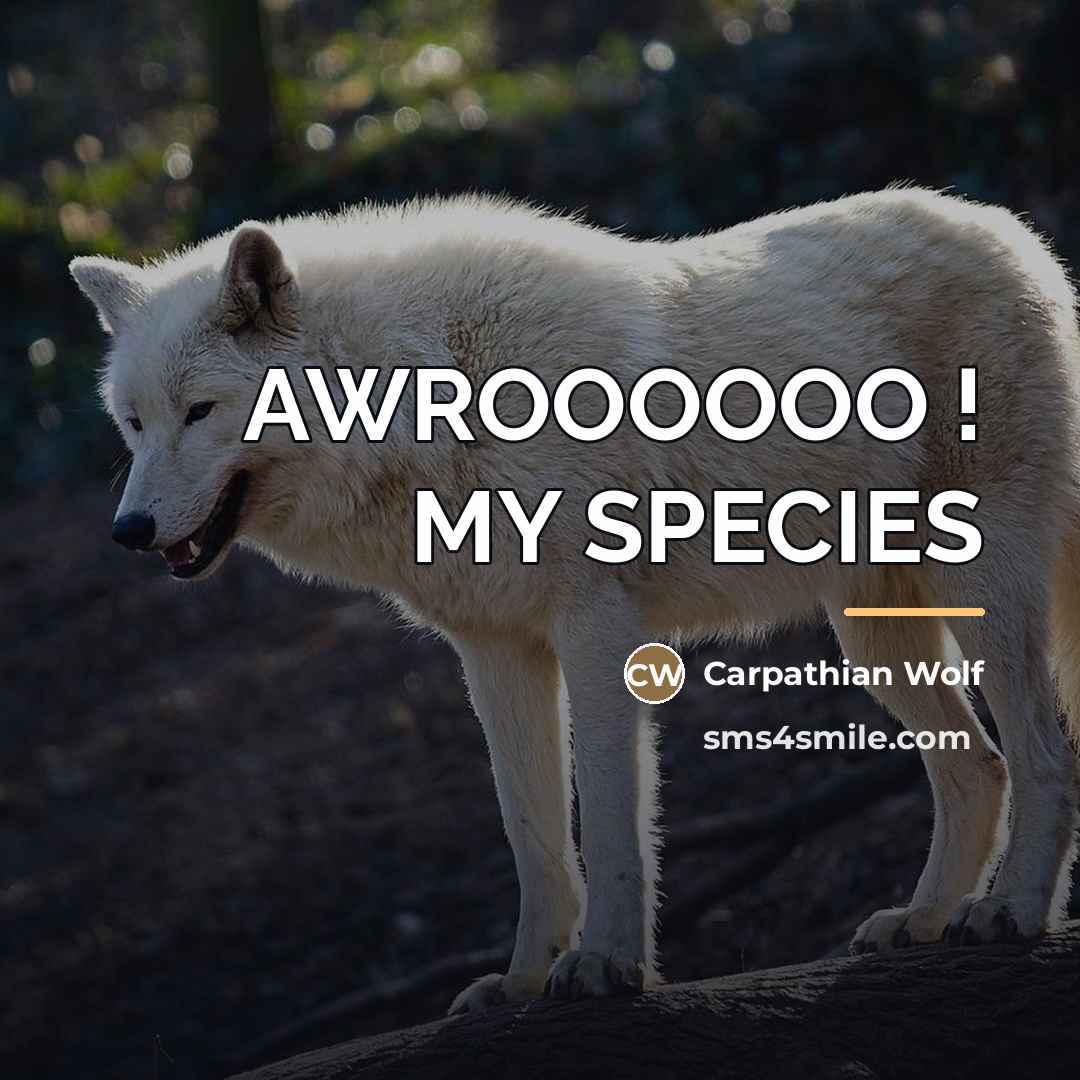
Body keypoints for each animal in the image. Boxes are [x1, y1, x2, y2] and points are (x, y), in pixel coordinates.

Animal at [72, 188, 1080, 1011]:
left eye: (200, 411)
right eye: (133, 423)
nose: (127, 530)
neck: (434, 393)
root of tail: (1023, 239)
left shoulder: (598, 627)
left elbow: (608, 812)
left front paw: (604, 967)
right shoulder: (495, 651)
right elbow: (534, 833)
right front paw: (523, 982)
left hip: (979, 596)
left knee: (1043, 752)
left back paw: (1010, 912)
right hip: (874, 639)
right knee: (979, 766)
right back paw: (923, 920)